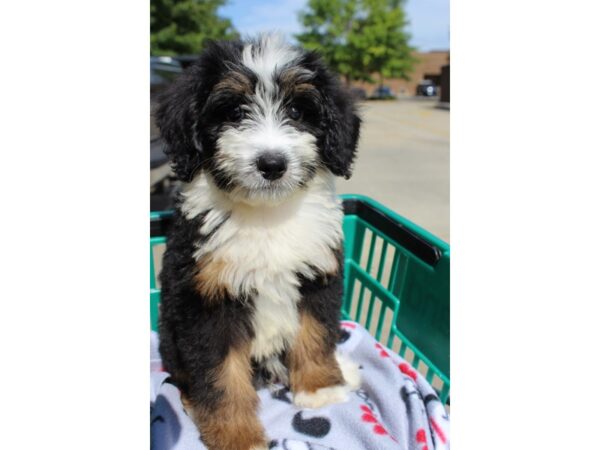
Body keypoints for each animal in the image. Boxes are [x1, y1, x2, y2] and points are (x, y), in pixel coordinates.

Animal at [155, 32, 360, 450]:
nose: (272, 164)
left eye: (297, 111)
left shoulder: (319, 277)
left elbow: (315, 334)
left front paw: (320, 388)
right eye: (234, 113)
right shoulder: (205, 302)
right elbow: (221, 376)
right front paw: (237, 435)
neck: (267, 215)